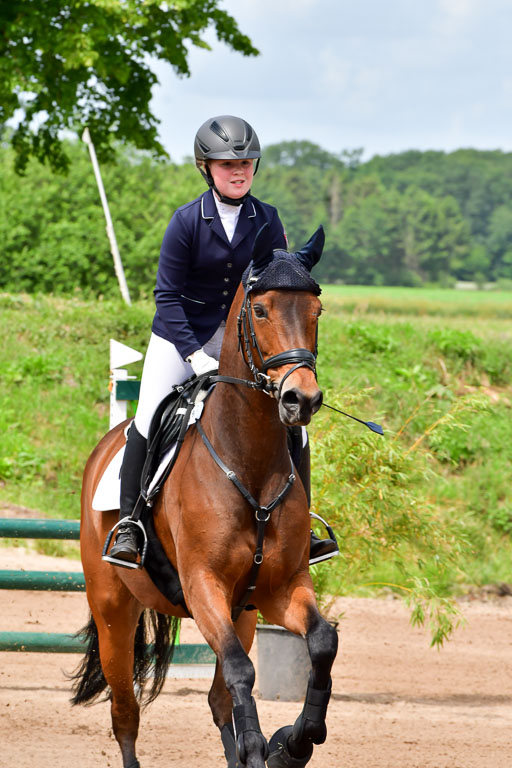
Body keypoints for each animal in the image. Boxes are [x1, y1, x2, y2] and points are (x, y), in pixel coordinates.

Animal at [71, 223, 339, 768]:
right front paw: (271, 745)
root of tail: (104, 446)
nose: (300, 399)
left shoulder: (279, 589)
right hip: (113, 609)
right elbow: (240, 671)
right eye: (261, 310)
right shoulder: (203, 586)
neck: (248, 461)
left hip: (244, 613)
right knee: (125, 711)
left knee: (218, 700)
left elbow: (321, 642)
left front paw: (293, 742)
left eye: (316, 311)